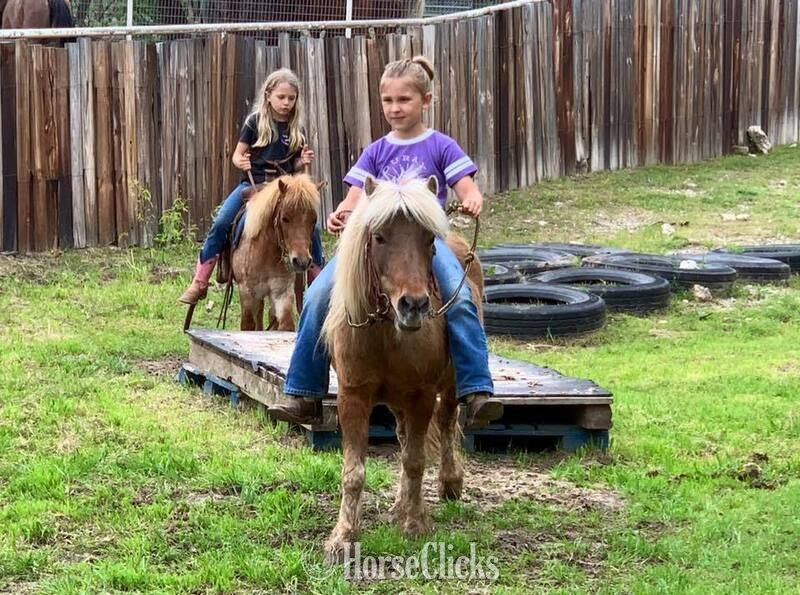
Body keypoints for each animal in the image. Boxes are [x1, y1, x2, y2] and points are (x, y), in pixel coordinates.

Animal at [231, 174, 322, 331]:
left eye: (314, 219)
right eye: (285, 218)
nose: (302, 262)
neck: (264, 253)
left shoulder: (282, 292)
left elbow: (285, 324)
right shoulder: (246, 293)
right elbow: (248, 325)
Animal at [320, 175, 484, 564]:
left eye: (428, 239)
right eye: (379, 237)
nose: (414, 304)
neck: (386, 333)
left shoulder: (422, 396)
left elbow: (415, 460)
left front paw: (415, 524)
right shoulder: (353, 397)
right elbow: (354, 471)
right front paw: (343, 538)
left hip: (448, 386)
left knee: (446, 422)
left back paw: (447, 484)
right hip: (396, 402)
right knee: (405, 435)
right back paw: (399, 505)